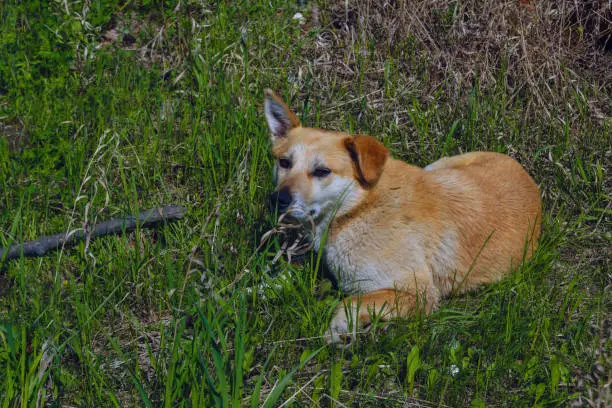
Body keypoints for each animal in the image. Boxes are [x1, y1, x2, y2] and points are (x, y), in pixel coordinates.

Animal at [262, 90, 540, 344]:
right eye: (284, 162)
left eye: (322, 171)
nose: (277, 199)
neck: (359, 208)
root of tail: (525, 174)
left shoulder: (417, 293)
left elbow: (349, 302)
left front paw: (339, 330)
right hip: (437, 166)